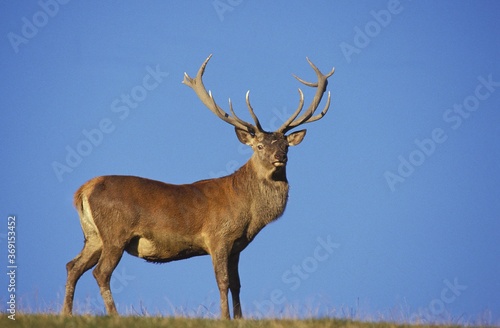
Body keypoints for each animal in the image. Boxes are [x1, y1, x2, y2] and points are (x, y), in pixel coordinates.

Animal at [63, 55, 336, 320]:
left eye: (285, 145)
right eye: (259, 146)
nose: (280, 157)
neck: (249, 215)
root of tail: (84, 190)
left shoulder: (237, 247)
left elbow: (237, 284)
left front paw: (239, 318)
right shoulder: (218, 237)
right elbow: (222, 281)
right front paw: (224, 318)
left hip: (93, 235)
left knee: (72, 266)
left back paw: (66, 313)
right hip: (115, 232)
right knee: (101, 272)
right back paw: (114, 314)